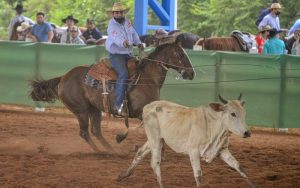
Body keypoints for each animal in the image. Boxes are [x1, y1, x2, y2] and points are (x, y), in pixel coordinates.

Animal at [29, 35, 196, 153]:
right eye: (181, 54)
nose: (191, 73)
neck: (147, 78)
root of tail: (63, 77)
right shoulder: (141, 113)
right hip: (81, 110)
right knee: (84, 133)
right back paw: (101, 152)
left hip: (94, 109)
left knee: (96, 131)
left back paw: (111, 150)